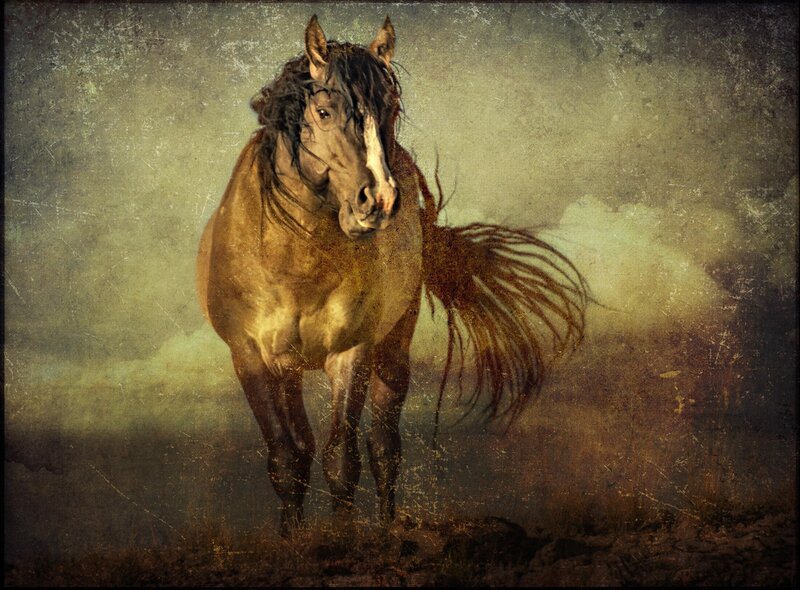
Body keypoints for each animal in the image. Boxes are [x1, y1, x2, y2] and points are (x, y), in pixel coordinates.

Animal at [196, 15, 588, 535]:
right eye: (324, 112)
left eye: (392, 108)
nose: (379, 200)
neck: (293, 265)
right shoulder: (250, 359)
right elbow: (286, 460)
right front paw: (292, 540)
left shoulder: (352, 353)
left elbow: (342, 460)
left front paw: (344, 539)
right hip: (290, 370)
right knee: (304, 449)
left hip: (391, 353)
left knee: (384, 447)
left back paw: (386, 528)